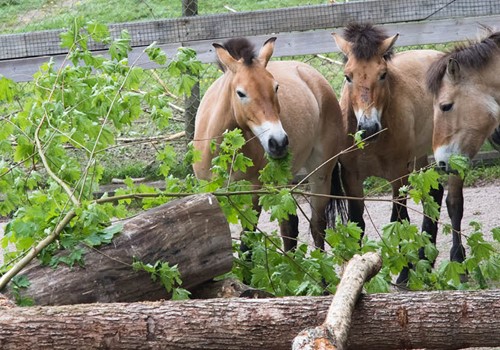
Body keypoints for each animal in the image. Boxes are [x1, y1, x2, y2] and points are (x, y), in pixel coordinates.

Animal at [192, 37, 344, 252]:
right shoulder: (211, 194)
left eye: (276, 87)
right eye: (240, 93)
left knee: (317, 225)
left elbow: (247, 245)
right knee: (290, 227)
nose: (278, 142)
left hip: (321, 174)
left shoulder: (252, 196)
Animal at [334, 23, 444, 284]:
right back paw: (426, 262)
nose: (368, 128)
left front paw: (404, 272)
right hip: (420, 159)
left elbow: (400, 221)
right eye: (348, 76)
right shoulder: (351, 178)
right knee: (435, 193)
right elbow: (357, 223)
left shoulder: (398, 177)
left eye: (383, 74)